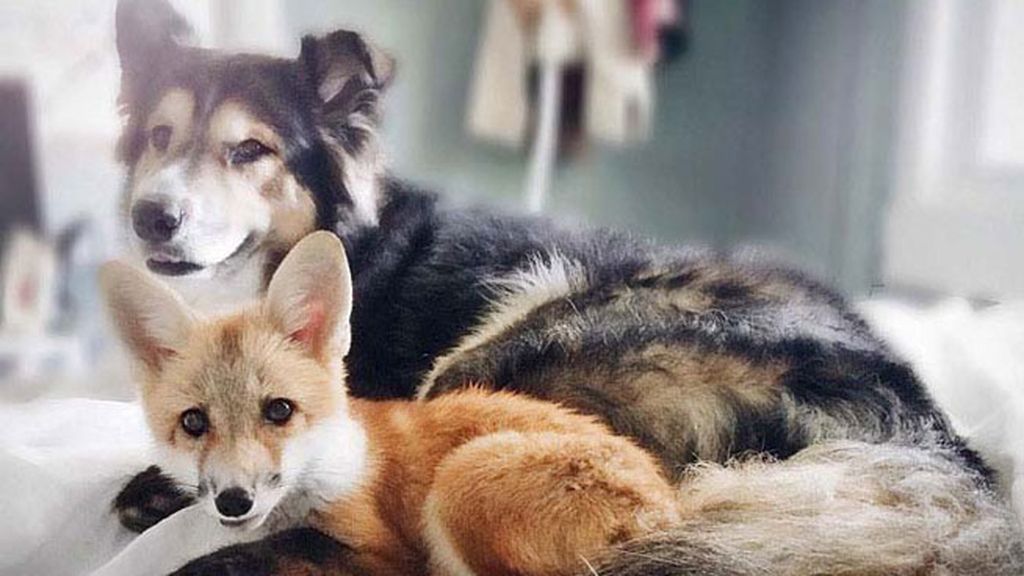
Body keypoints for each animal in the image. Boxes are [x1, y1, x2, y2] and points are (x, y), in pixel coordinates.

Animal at [98, 231, 685, 576]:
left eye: (279, 410)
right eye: (194, 423)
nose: (234, 502)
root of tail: (671, 513)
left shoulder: (383, 552)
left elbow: (261, 554)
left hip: (464, 480)